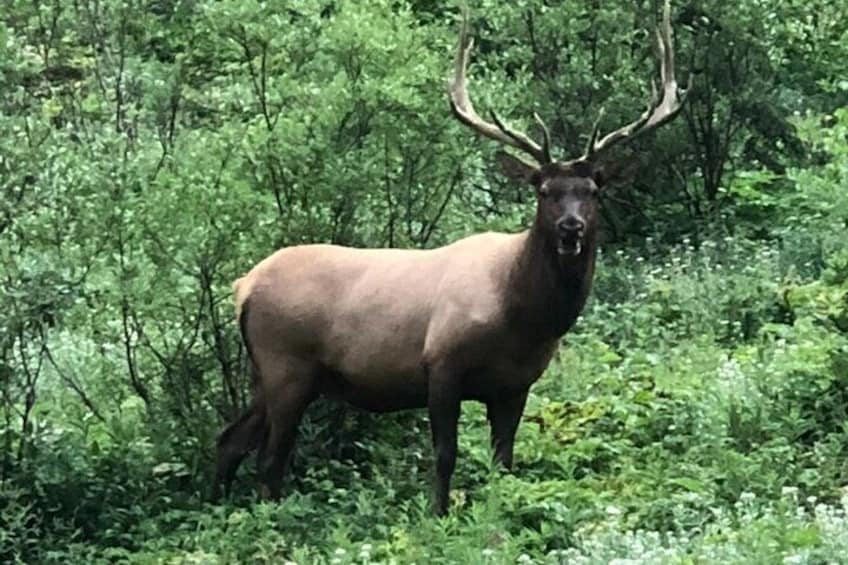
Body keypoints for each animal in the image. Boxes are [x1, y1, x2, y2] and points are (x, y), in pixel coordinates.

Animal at [212, 0, 688, 512]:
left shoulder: (516, 385)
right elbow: (445, 455)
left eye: (593, 191)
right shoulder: (440, 363)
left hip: (267, 372)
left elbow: (504, 461)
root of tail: (243, 286)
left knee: (230, 440)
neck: (523, 319)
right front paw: (438, 514)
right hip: (286, 363)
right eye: (543, 191)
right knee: (270, 459)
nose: (571, 229)